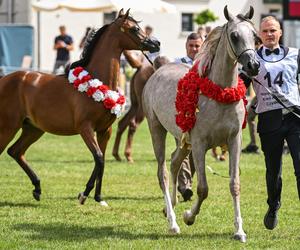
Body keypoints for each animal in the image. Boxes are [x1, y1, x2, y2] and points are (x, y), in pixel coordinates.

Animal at [0, 9, 159, 205]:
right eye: (134, 29)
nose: (156, 44)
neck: (97, 80)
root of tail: (4, 79)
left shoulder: (105, 131)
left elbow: (102, 161)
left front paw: (99, 198)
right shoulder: (85, 128)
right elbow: (98, 158)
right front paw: (84, 194)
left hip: (33, 129)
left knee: (15, 151)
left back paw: (37, 188)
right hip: (8, 127)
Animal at [142, 5, 258, 242]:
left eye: (254, 35)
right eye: (234, 35)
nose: (253, 65)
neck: (220, 93)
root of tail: (157, 70)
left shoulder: (234, 141)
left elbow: (234, 184)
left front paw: (239, 231)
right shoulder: (199, 144)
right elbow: (203, 188)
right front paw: (188, 216)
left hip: (182, 139)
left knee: (174, 161)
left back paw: (170, 207)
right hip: (157, 129)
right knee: (163, 172)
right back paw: (173, 222)